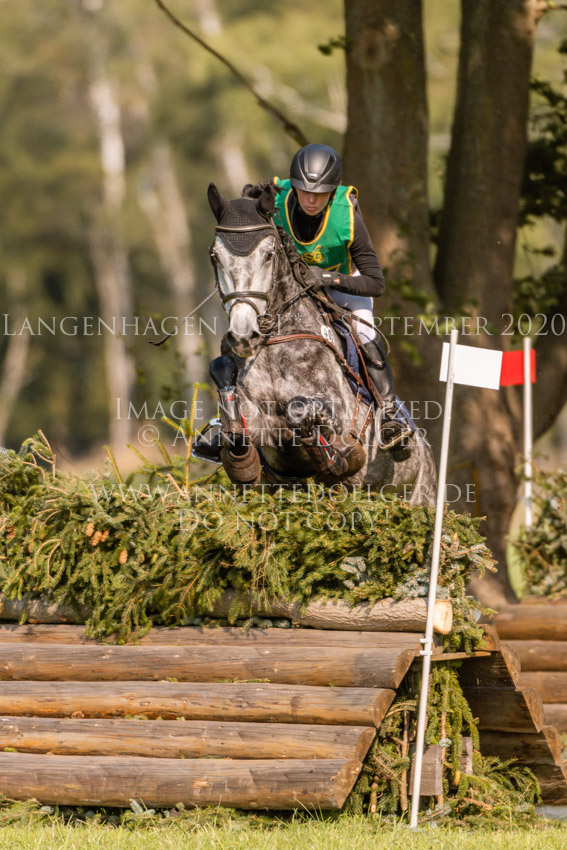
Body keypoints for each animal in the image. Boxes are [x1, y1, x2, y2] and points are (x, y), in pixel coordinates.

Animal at [206, 182, 437, 506]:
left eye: (268, 255)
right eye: (215, 257)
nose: (242, 337)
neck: (275, 343)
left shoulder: (339, 415)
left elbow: (300, 411)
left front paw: (331, 455)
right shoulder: (262, 429)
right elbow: (237, 429)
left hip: (420, 495)